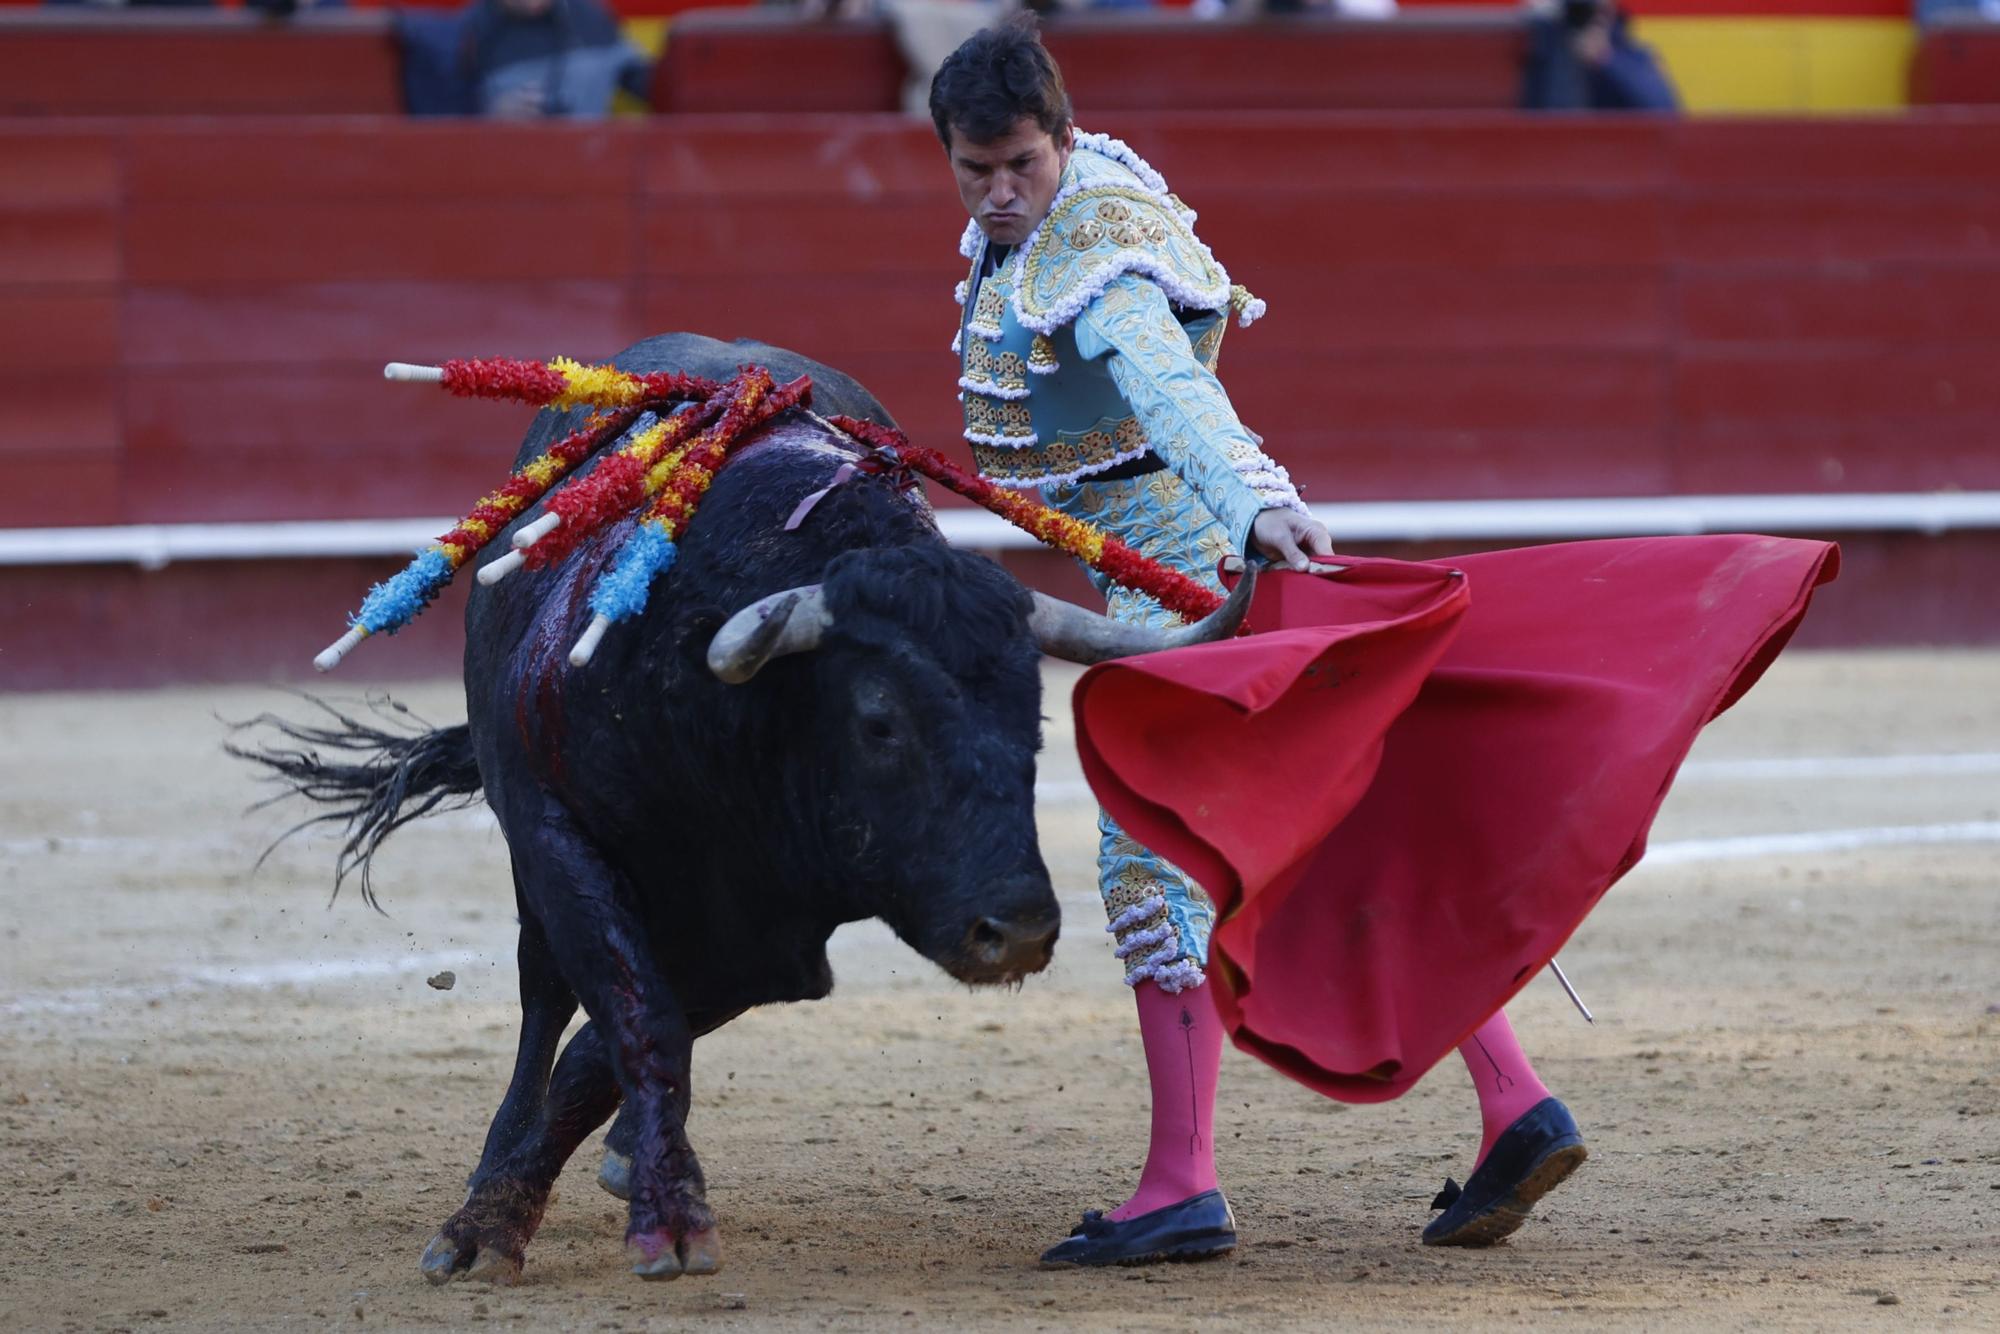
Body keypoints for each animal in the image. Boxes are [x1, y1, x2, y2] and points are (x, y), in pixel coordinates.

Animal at [242, 334, 1248, 1280]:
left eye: (1033, 720)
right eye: (879, 721)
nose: (1020, 931)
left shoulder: (775, 940)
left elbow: (625, 1042)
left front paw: (643, 1179)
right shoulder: (555, 833)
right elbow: (629, 1014)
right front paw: (517, 1225)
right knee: (542, 993)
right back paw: (499, 1164)